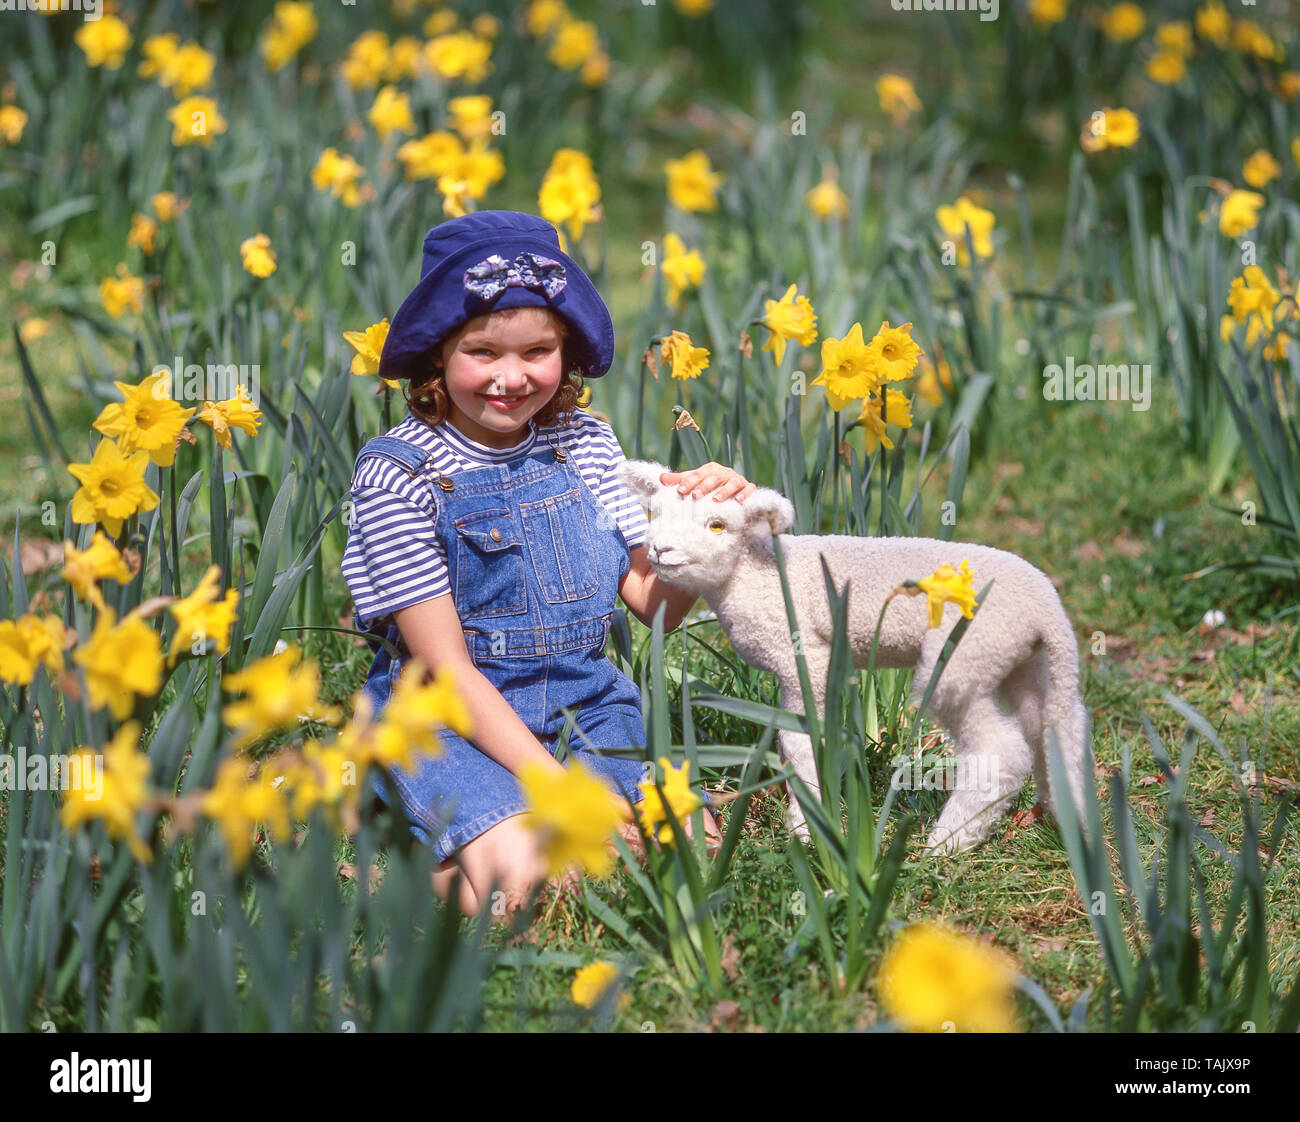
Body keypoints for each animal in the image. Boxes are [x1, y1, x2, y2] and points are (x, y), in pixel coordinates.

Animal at [613, 460, 1092, 858]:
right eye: (654, 514)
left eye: (717, 525)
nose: (660, 551)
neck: (751, 575)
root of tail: (1047, 608)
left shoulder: (804, 656)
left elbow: (801, 742)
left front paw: (807, 827)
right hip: (1023, 662)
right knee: (1054, 728)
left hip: (963, 661)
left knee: (1001, 750)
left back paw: (947, 843)